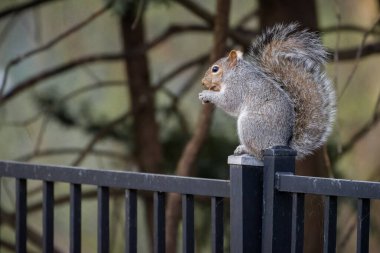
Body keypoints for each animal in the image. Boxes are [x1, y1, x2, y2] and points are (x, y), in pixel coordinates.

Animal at [199, 23, 336, 158]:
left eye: (215, 69)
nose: (203, 82)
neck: (234, 73)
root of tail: (282, 144)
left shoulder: (238, 87)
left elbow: (229, 102)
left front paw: (206, 94)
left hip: (250, 124)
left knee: (258, 152)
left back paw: (244, 149)